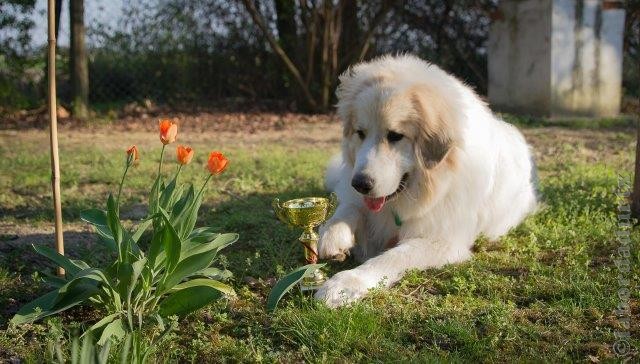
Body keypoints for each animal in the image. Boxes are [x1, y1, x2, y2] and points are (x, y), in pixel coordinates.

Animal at [316, 54, 540, 308]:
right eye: (360, 133)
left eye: (395, 136)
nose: (360, 184)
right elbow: (348, 208)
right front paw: (332, 236)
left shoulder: (442, 241)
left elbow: (392, 258)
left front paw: (344, 284)